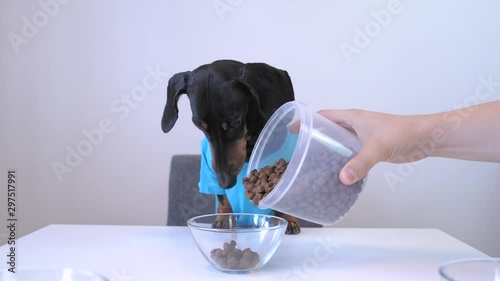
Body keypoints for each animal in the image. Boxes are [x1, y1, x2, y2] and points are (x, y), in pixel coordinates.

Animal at [162, 59, 300, 234]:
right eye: (199, 126)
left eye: (235, 123)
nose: (226, 182)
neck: (249, 147)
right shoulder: (210, 173)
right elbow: (222, 198)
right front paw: (223, 219)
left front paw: (289, 220)